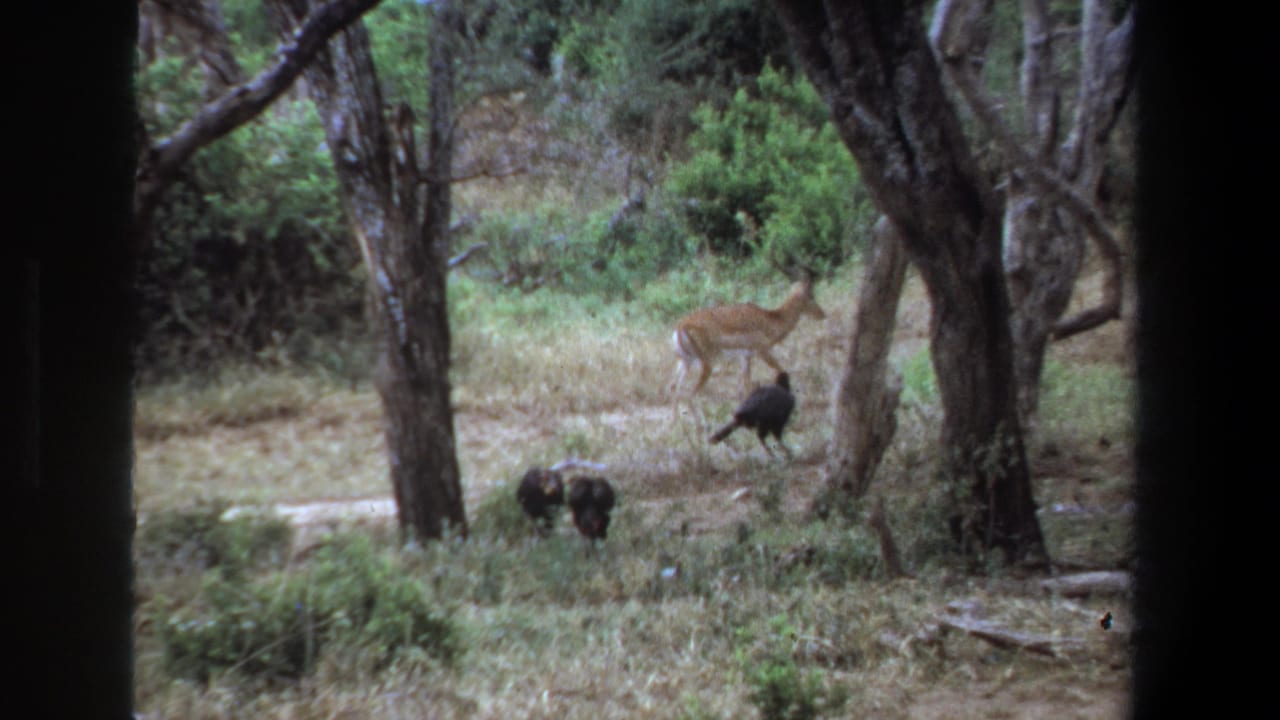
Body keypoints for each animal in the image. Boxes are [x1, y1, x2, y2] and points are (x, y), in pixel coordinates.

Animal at [668, 271, 825, 414]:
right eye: (811, 296)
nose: (822, 314)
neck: (772, 321)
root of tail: (680, 326)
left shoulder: (745, 356)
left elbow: (746, 386)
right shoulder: (762, 351)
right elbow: (780, 371)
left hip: (686, 361)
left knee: (674, 387)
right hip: (706, 362)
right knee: (689, 394)